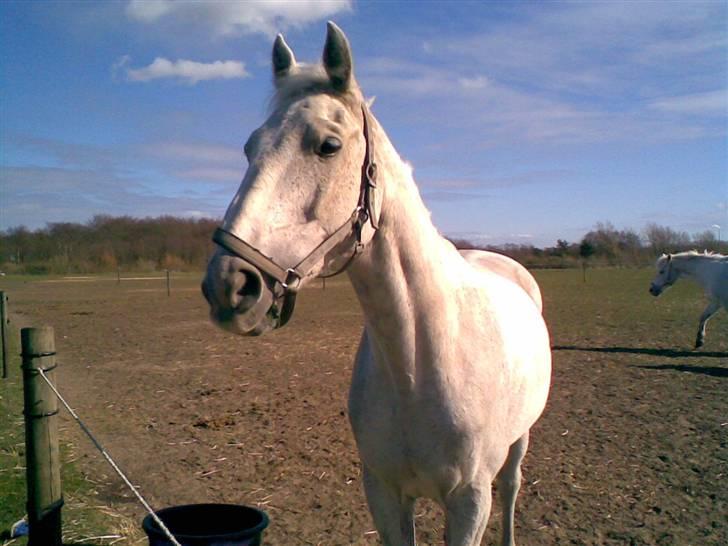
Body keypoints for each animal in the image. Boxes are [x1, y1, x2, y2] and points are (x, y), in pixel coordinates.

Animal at [202, 24, 548, 544]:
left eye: (328, 146)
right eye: (249, 148)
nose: (230, 286)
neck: (419, 362)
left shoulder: (470, 502)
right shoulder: (383, 493)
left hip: (517, 444)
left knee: (512, 486)